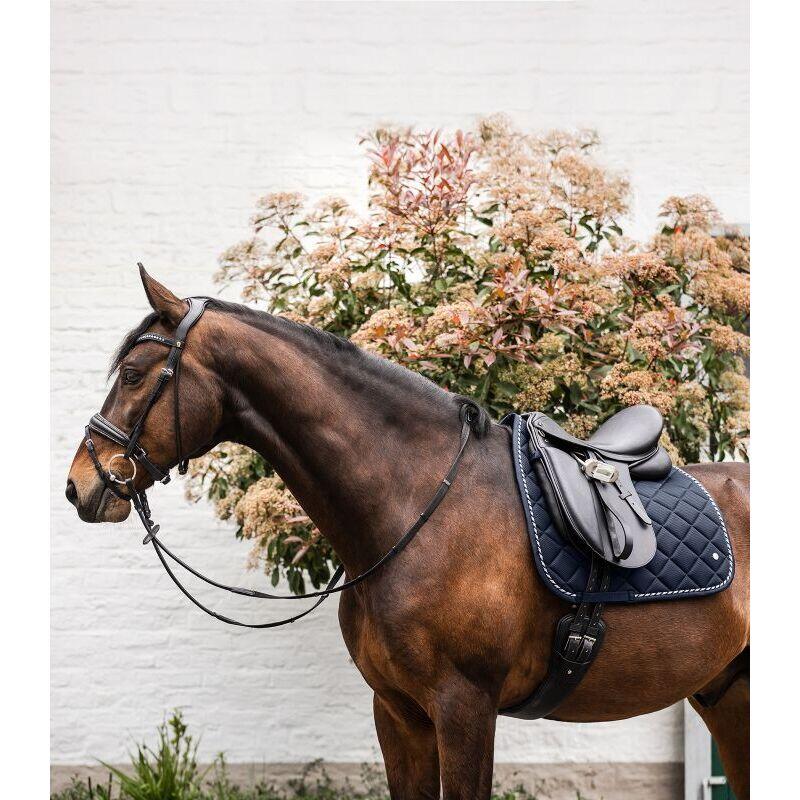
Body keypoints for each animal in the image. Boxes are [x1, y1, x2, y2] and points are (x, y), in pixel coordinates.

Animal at [66, 267, 750, 799]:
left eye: (133, 374)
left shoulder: (464, 709)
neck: (421, 508)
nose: (80, 484)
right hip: (728, 699)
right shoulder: (398, 713)